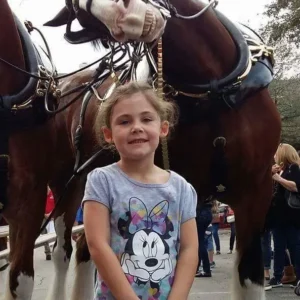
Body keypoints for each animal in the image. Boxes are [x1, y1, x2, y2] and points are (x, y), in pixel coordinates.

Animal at [1, 0, 280, 300]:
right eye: (81, 14)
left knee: (85, 249)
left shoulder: (256, 192)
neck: (213, 90)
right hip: (70, 184)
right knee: (65, 251)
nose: (132, 18)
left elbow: (249, 274)